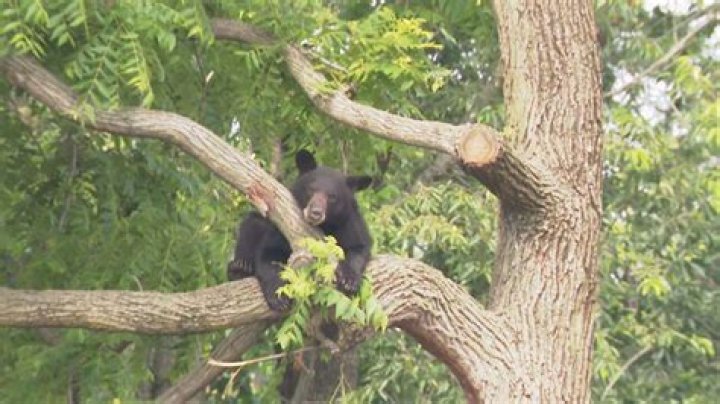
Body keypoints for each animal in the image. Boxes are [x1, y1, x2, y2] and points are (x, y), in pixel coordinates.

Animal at [227, 150, 372, 312]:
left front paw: (349, 280)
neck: (324, 226)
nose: (315, 212)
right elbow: (269, 253)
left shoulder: (349, 222)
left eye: (332, 197)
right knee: (251, 225)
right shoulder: (284, 226)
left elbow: (358, 246)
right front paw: (279, 296)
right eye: (311, 189)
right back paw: (240, 267)